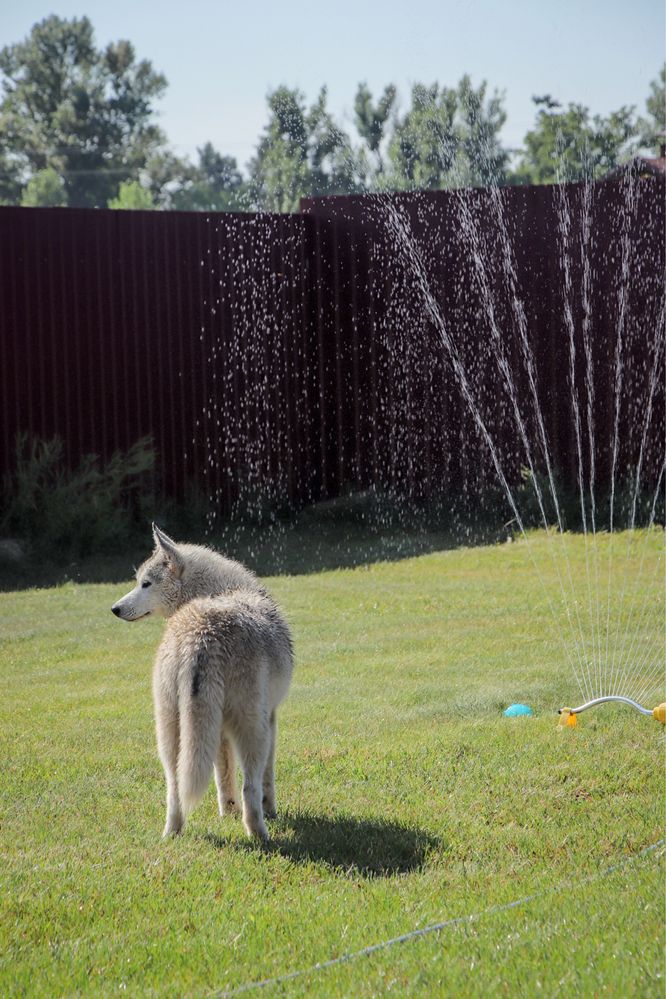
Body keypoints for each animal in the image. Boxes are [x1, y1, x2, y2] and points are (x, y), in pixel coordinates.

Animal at [111, 528, 294, 840]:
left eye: (145, 584)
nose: (114, 609)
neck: (220, 591)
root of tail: (201, 634)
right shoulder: (270, 719)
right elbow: (266, 779)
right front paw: (270, 810)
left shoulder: (218, 731)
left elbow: (223, 777)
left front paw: (226, 812)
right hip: (252, 731)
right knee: (250, 788)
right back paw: (261, 835)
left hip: (171, 735)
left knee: (175, 789)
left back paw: (172, 834)